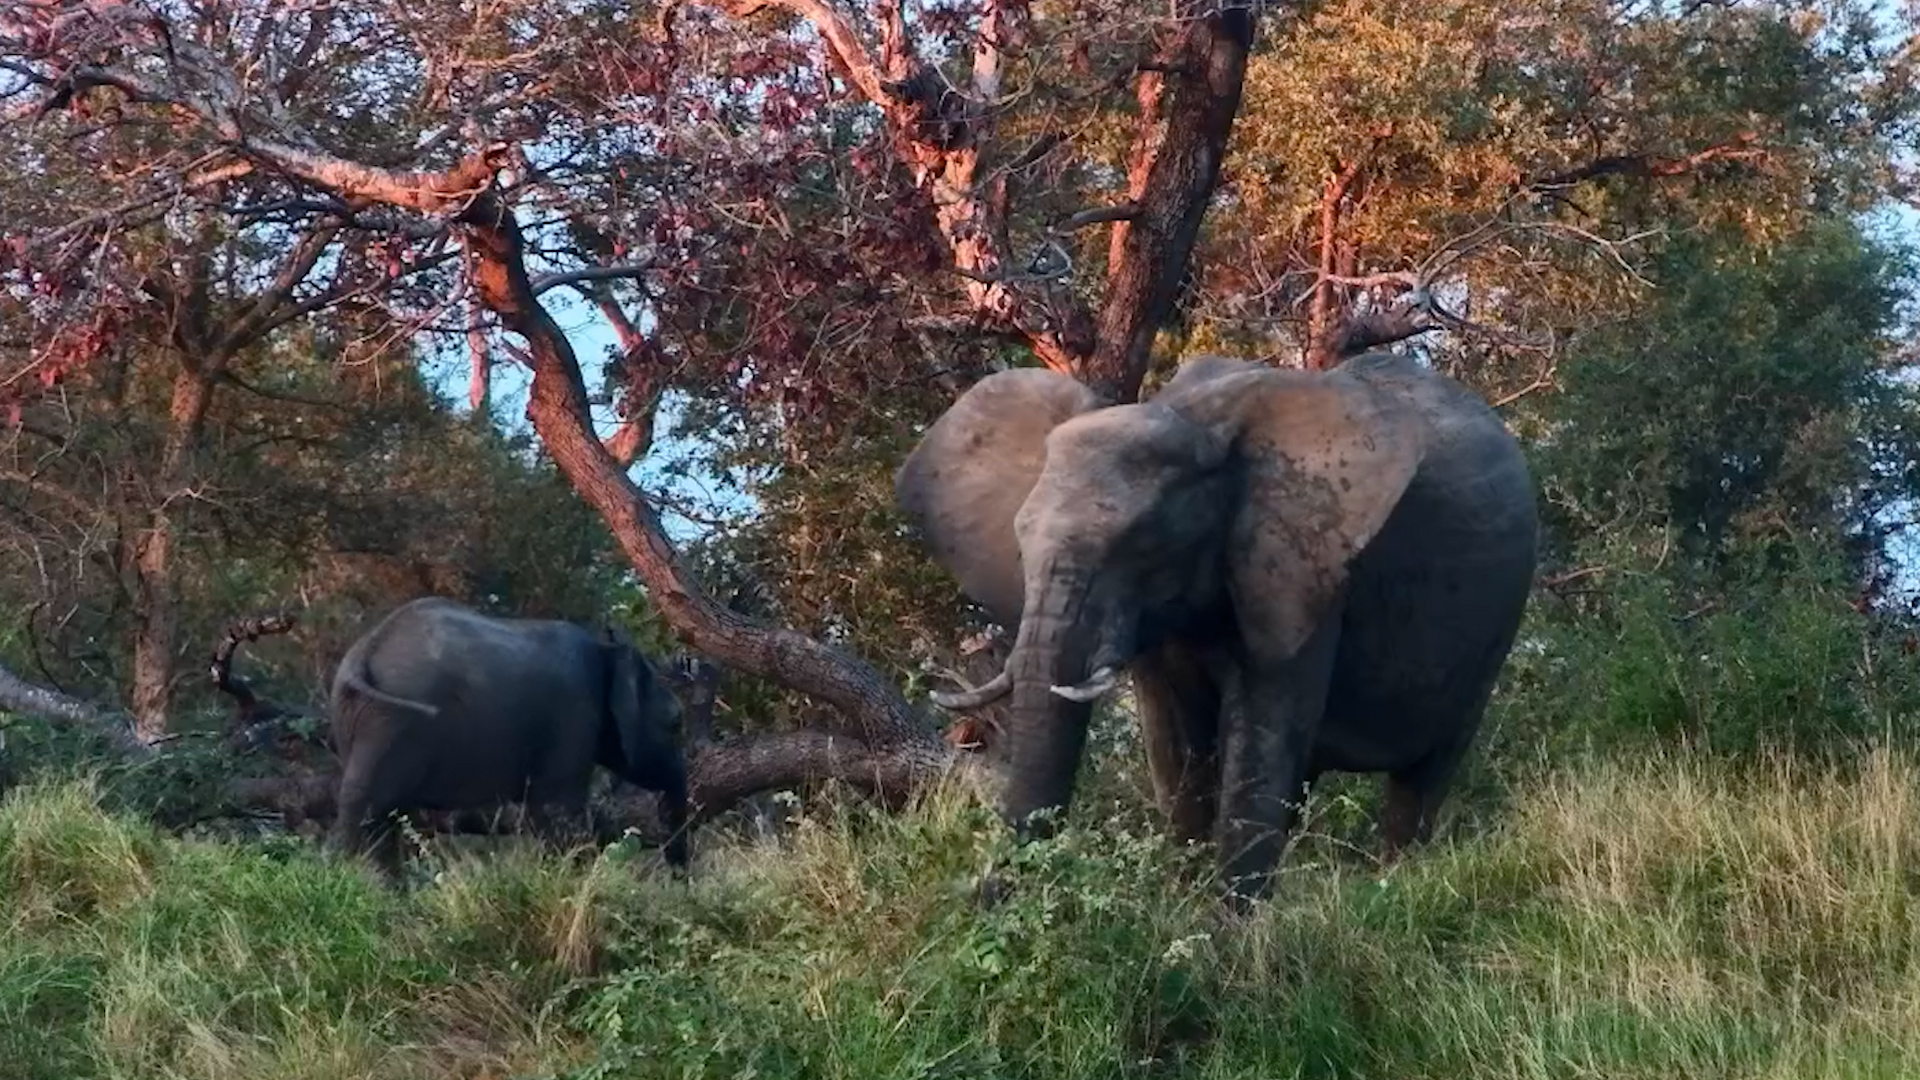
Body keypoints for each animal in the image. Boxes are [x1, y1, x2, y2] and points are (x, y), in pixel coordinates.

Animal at [327, 596, 690, 877]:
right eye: (675, 724)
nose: (679, 879)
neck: (607, 650)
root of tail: (364, 653)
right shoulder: (573, 715)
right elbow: (555, 809)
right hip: (394, 723)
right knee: (373, 808)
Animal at [894, 351, 1539, 899]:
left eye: (1145, 543)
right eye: (1020, 539)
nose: (981, 894)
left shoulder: (1303, 568)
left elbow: (1263, 730)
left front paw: (1230, 932)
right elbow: (1175, 740)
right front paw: (1182, 898)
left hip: (1498, 620)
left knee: (1421, 780)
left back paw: (1394, 882)